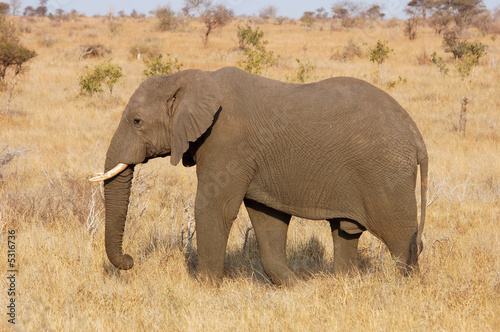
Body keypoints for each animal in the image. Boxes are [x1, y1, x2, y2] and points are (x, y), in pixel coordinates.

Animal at [91, 67, 430, 286]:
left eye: (137, 121)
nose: (130, 261)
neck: (189, 78)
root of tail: (415, 135)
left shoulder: (227, 143)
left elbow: (213, 208)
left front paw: (204, 289)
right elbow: (267, 217)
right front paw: (296, 288)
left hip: (386, 173)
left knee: (401, 238)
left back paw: (405, 289)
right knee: (346, 231)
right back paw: (344, 285)